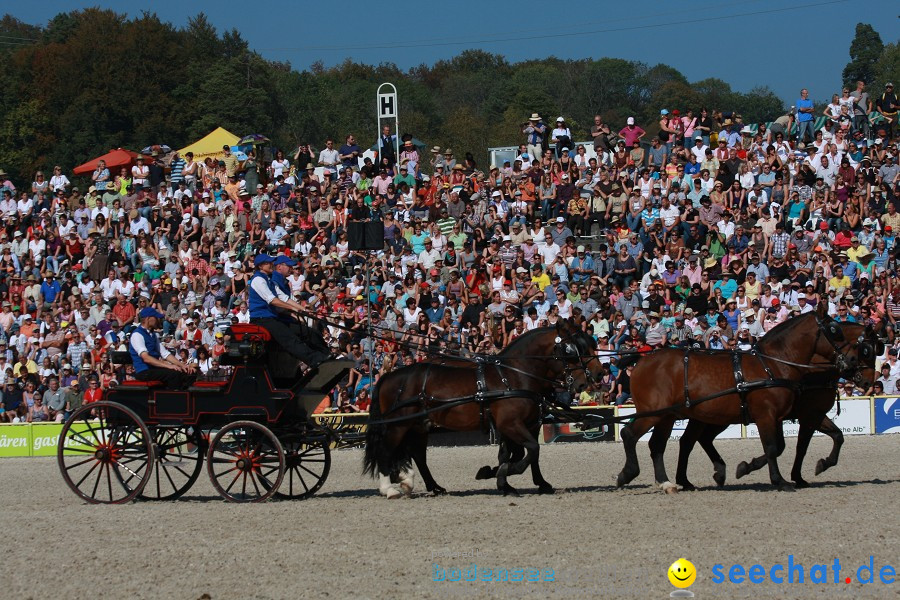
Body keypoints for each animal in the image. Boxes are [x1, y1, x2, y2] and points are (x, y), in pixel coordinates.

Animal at [362, 318, 600, 496]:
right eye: (571, 350)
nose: (591, 378)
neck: (513, 376)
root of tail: (388, 377)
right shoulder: (510, 424)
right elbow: (531, 450)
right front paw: (503, 474)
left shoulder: (525, 425)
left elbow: (519, 453)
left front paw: (510, 479)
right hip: (398, 425)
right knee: (386, 451)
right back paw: (389, 488)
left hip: (418, 425)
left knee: (417, 454)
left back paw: (431, 486)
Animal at [620, 314, 872, 492]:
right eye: (834, 331)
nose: (852, 363)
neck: (773, 364)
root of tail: (642, 360)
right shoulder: (771, 415)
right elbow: (773, 447)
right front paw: (779, 480)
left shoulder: (782, 416)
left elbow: (786, 445)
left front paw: (752, 469)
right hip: (654, 413)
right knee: (629, 434)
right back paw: (628, 474)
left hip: (671, 416)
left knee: (661, 445)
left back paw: (669, 482)